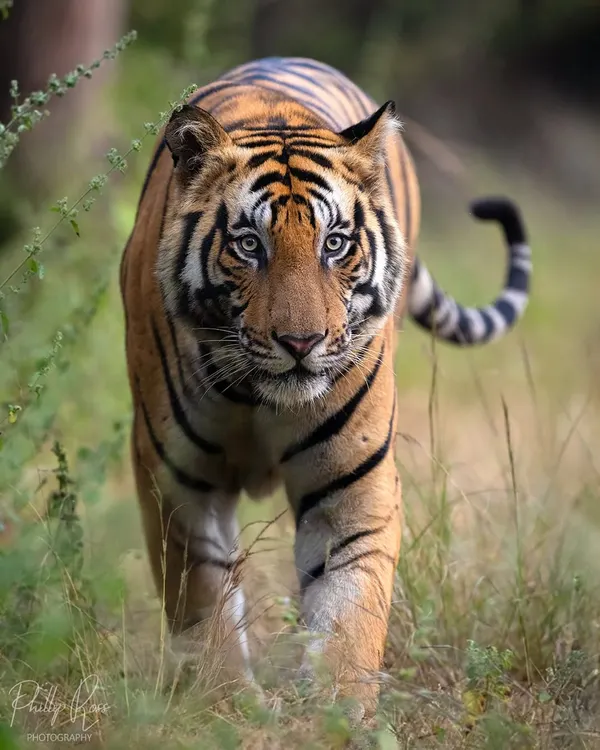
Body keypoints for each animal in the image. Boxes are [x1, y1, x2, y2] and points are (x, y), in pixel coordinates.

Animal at [120, 56, 531, 719]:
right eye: (249, 245)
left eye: (334, 243)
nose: (301, 342)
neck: (257, 397)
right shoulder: (179, 481)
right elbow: (203, 599)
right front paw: (224, 705)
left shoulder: (352, 485)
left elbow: (348, 610)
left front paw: (337, 715)